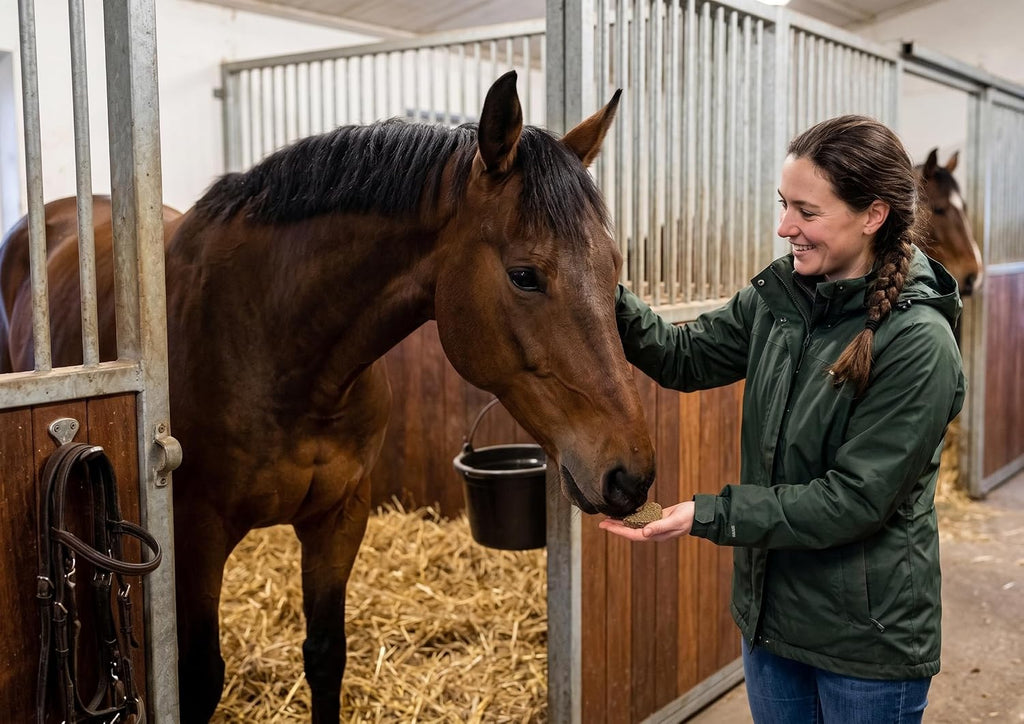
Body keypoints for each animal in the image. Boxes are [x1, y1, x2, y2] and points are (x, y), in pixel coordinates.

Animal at [0, 71, 656, 722]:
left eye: (614, 265)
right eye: (524, 275)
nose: (631, 475)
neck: (278, 348)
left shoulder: (340, 516)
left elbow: (325, 655)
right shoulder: (195, 532)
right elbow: (202, 677)